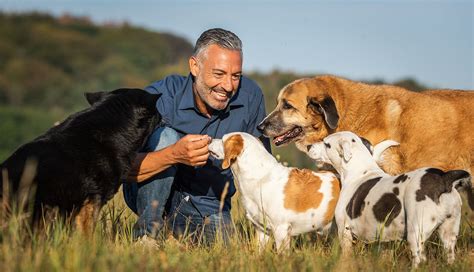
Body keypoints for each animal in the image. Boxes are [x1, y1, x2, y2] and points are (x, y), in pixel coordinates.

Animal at [308, 132, 474, 268]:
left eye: (326, 144)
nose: (309, 146)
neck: (359, 172)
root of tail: (444, 178)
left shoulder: (345, 232)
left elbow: (346, 255)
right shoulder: (386, 239)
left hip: (416, 232)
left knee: (420, 260)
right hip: (449, 233)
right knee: (450, 255)